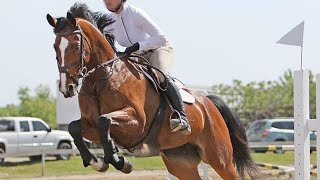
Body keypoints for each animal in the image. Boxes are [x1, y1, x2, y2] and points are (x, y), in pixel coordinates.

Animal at [47, 3, 258, 180]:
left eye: (76, 46)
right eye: (55, 46)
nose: (67, 88)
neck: (102, 79)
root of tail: (208, 103)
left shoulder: (136, 122)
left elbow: (104, 120)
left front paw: (120, 161)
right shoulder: (89, 124)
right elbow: (75, 127)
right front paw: (99, 162)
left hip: (219, 157)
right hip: (180, 161)